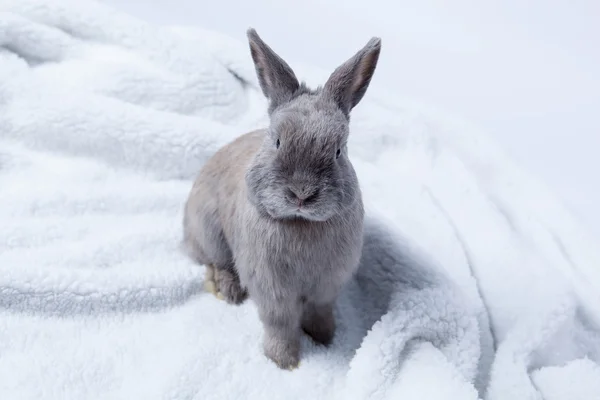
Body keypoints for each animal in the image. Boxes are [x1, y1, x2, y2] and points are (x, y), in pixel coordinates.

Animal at [180, 28, 382, 368]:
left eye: (338, 151)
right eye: (276, 141)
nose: (301, 193)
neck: (300, 222)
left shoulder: (327, 285)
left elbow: (318, 311)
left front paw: (325, 338)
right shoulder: (271, 289)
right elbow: (280, 323)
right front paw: (284, 361)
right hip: (210, 232)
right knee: (214, 261)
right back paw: (227, 290)